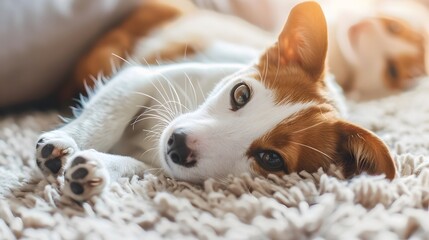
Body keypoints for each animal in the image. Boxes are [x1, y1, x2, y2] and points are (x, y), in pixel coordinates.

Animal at [36, 1, 394, 202]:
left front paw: (94, 169)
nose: (177, 144)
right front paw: (64, 142)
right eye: (241, 93)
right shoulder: (140, 78)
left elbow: (141, 168)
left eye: (271, 159)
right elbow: (109, 115)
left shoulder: (162, 165)